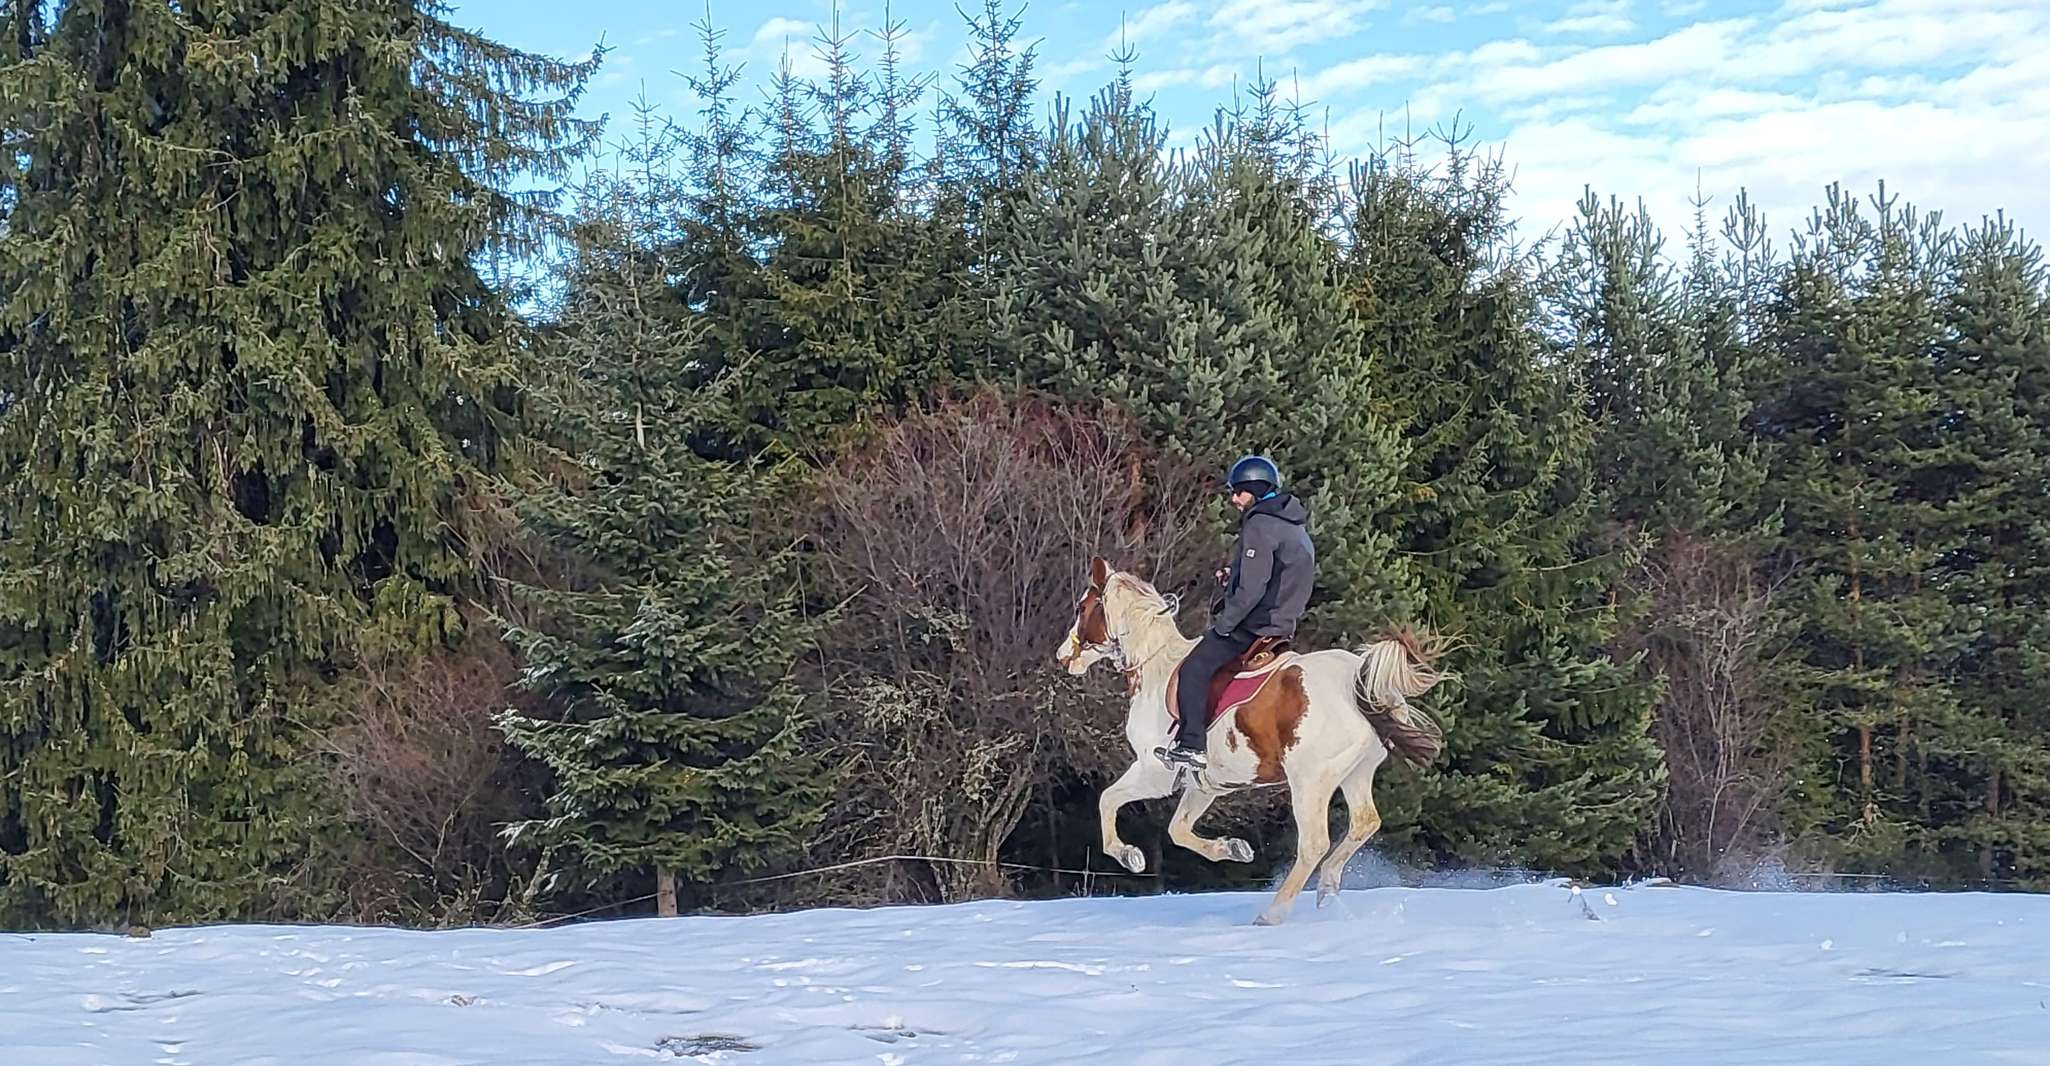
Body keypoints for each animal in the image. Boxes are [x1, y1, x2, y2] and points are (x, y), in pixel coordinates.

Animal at [1049, 557, 1451, 922]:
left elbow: (1108, 799)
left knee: (1314, 843)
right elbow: (1178, 830)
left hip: (1311, 781)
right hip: (1355, 771)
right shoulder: (1204, 784)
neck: (1156, 667)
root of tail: (1359, 682)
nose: (1063, 656)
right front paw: (1233, 849)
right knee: (1365, 823)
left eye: (1082, 607)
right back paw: (1326, 889)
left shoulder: (1154, 772)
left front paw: (1129, 855)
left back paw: (1272, 914)